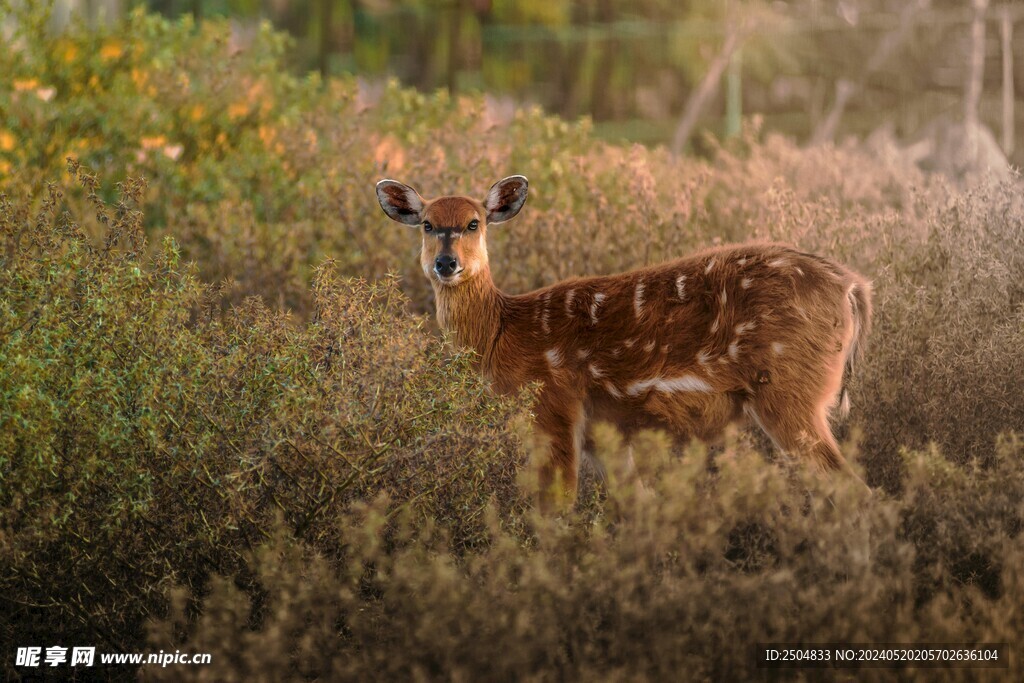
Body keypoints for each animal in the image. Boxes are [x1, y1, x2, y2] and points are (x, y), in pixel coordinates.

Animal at [376, 175, 872, 509]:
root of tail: (854, 289)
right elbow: (638, 504)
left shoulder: (553, 404)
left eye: (474, 223)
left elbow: (555, 510)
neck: (504, 334)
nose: (446, 263)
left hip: (789, 390)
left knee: (856, 491)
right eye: (426, 224)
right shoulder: (604, 429)